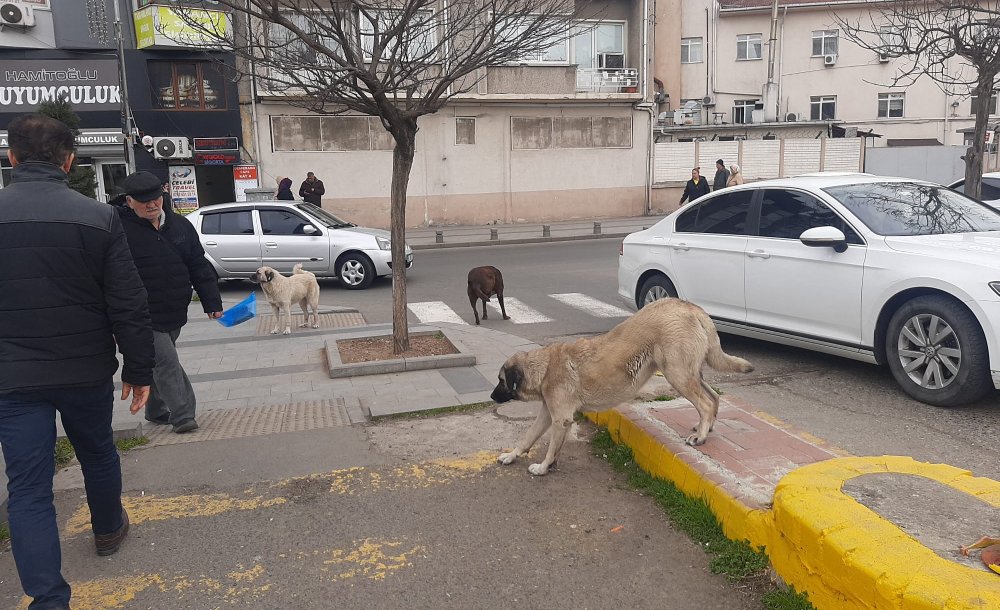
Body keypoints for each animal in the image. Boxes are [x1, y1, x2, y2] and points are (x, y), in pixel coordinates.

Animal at [488, 296, 752, 472]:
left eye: (501, 380)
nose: (491, 396)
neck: (545, 367)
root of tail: (691, 307)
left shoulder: (560, 418)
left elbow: (551, 447)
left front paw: (543, 467)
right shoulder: (547, 413)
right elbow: (528, 438)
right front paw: (512, 456)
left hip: (677, 374)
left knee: (705, 403)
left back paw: (701, 436)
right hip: (690, 374)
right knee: (714, 397)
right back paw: (705, 427)